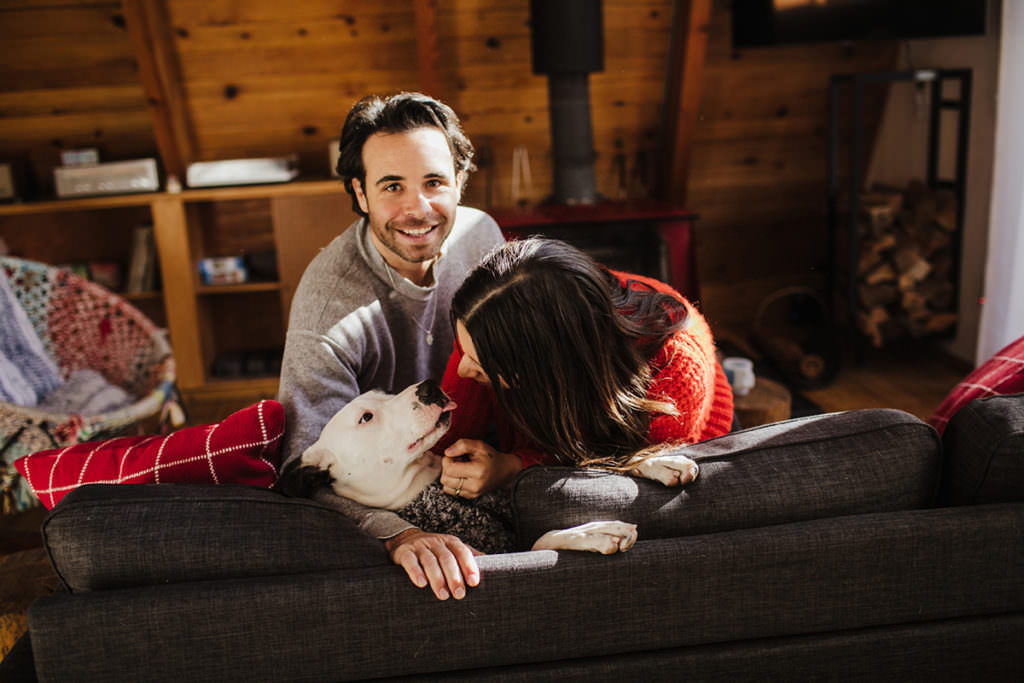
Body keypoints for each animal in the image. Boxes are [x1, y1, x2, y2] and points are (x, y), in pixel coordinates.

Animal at [279, 380, 699, 554]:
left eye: (385, 391)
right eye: (366, 418)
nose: (428, 386)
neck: (429, 489)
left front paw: (657, 461)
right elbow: (541, 540)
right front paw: (593, 533)